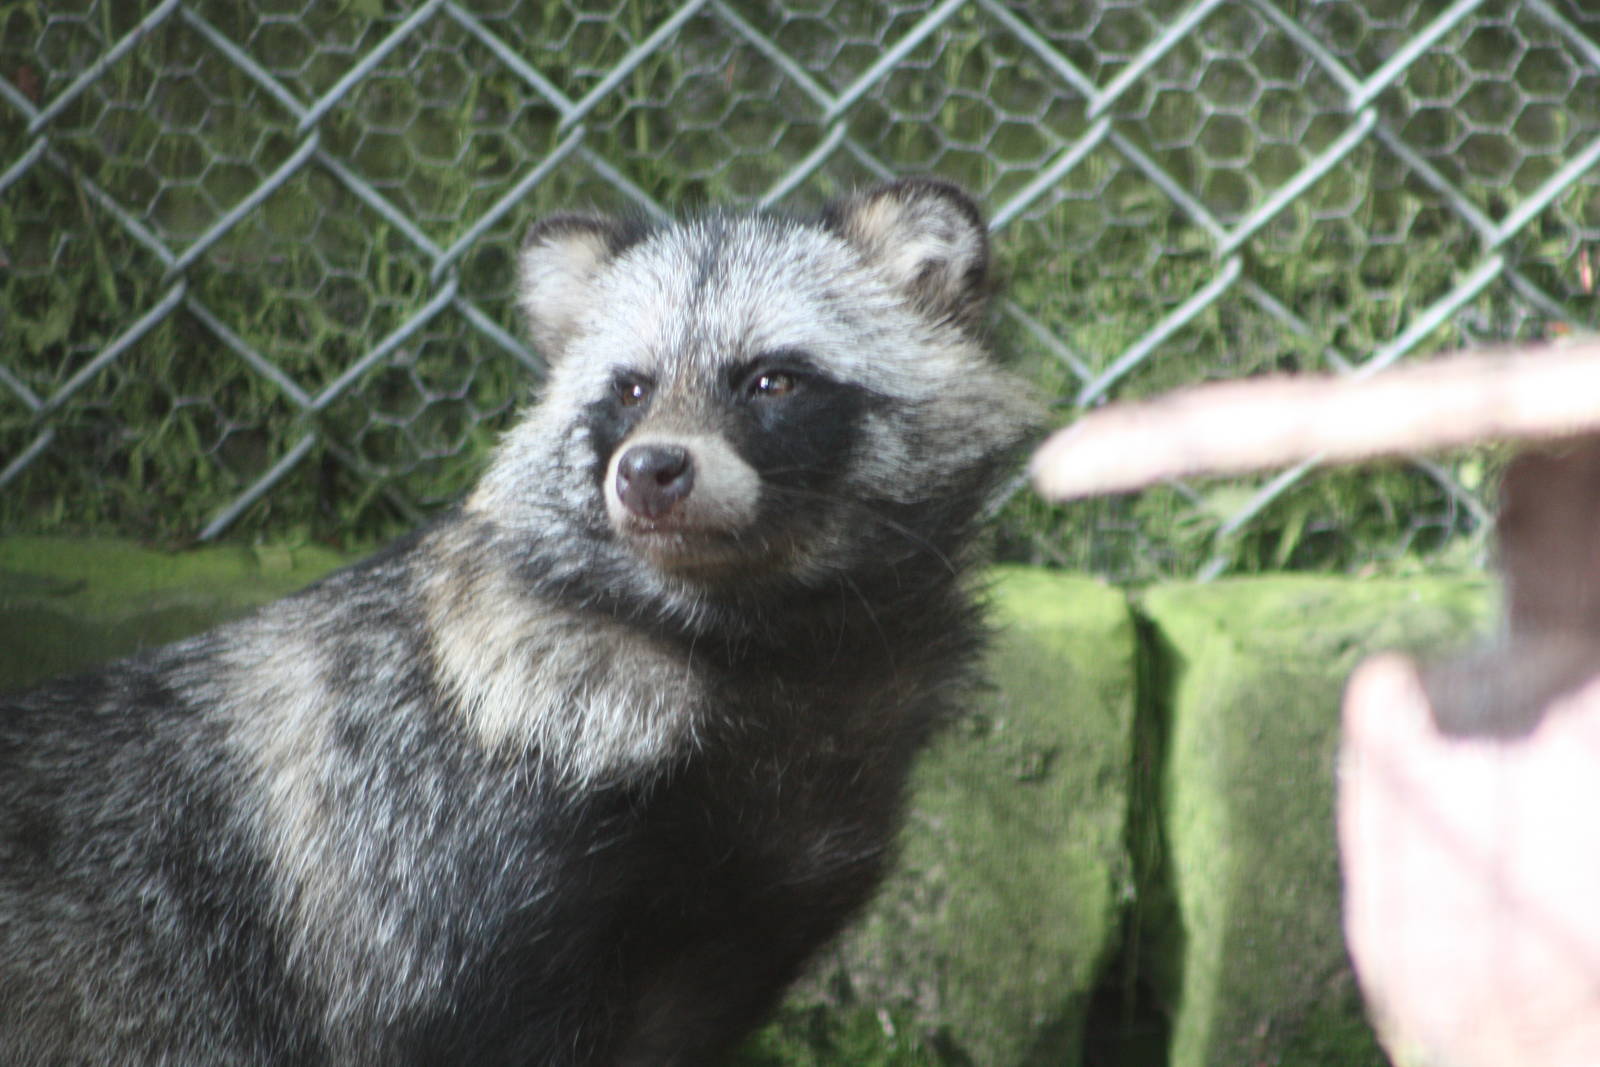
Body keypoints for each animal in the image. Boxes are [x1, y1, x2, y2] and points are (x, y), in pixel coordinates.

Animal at [0, 178, 1039, 1065]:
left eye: (772, 380)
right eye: (628, 388)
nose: (650, 470)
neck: (754, 646)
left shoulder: (739, 924)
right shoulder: (445, 868)